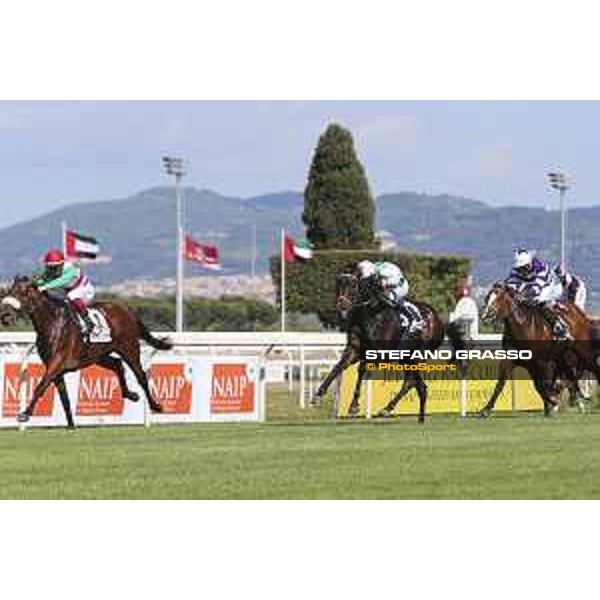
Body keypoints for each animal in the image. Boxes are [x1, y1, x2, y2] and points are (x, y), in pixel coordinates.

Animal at [1, 276, 172, 426]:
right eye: (10, 290)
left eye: (22, 292)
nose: (5, 316)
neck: (52, 323)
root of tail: (126, 309)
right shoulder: (55, 367)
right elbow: (64, 397)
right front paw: (71, 425)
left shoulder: (57, 362)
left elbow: (41, 386)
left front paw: (25, 414)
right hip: (98, 355)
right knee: (117, 364)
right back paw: (130, 394)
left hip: (129, 348)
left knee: (141, 375)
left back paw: (155, 406)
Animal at [314, 276, 464, 422]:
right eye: (339, 286)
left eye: (353, 286)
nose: (342, 304)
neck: (370, 316)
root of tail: (439, 321)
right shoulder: (354, 350)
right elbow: (338, 367)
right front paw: (319, 394)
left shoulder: (382, 355)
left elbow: (361, 369)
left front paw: (354, 405)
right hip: (406, 358)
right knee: (414, 384)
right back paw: (402, 412)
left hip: (417, 356)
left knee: (413, 383)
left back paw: (396, 411)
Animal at [476, 282, 596, 418]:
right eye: (487, 298)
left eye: (499, 298)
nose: (485, 316)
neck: (524, 328)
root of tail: (580, 314)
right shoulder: (515, 361)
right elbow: (502, 383)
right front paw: (486, 409)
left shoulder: (542, 362)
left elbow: (544, 385)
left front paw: (551, 404)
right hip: (563, 358)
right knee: (569, 378)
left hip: (578, 354)